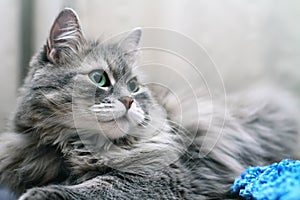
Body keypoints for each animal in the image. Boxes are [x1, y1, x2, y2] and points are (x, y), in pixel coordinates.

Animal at [0, 8, 300, 200]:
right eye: (99, 78)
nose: (129, 100)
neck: (74, 145)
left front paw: (43, 194)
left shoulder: (157, 176)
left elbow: (99, 186)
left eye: (134, 86)